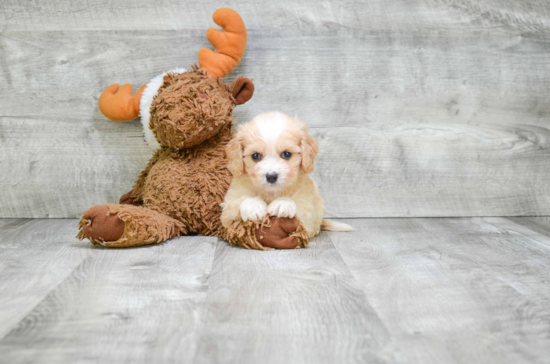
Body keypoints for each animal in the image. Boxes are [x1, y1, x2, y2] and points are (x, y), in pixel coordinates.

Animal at [223, 111, 356, 237]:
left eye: (286, 154)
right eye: (255, 156)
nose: (271, 176)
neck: (272, 193)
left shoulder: (307, 211)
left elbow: (298, 208)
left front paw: (283, 203)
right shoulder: (227, 212)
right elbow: (237, 202)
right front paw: (253, 205)